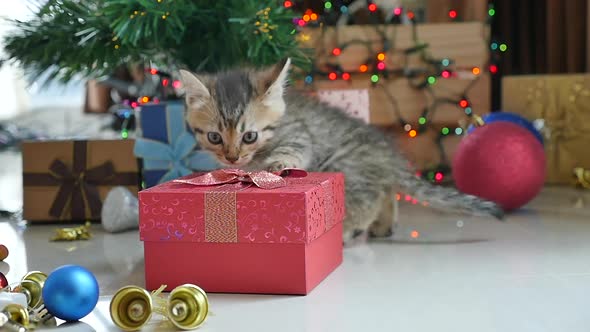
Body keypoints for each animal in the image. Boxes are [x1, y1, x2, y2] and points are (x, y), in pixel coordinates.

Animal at [179, 58, 504, 243]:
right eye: (214, 137)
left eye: (249, 136)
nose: (232, 157)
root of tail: (388, 154)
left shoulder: (300, 133)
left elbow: (290, 150)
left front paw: (275, 164)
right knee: (385, 190)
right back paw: (384, 224)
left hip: (344, 161)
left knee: (370, 195)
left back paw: (349, 230)